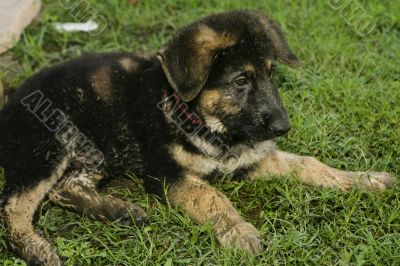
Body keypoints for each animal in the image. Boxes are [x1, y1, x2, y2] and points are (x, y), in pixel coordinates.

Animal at [0, 9, 394, 264]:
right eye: (241, 80)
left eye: (271, 74)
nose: (284, 128)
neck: (205, 122)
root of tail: (10, 104)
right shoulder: (168, 174)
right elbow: (211, 195)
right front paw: (239, 231)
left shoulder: (250, 158)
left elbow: (309, 165)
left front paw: (365, 180)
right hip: (47, 145)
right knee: (16, 205)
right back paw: (37, 249)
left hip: (96, 153)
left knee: (64, 189)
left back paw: (118, 210)